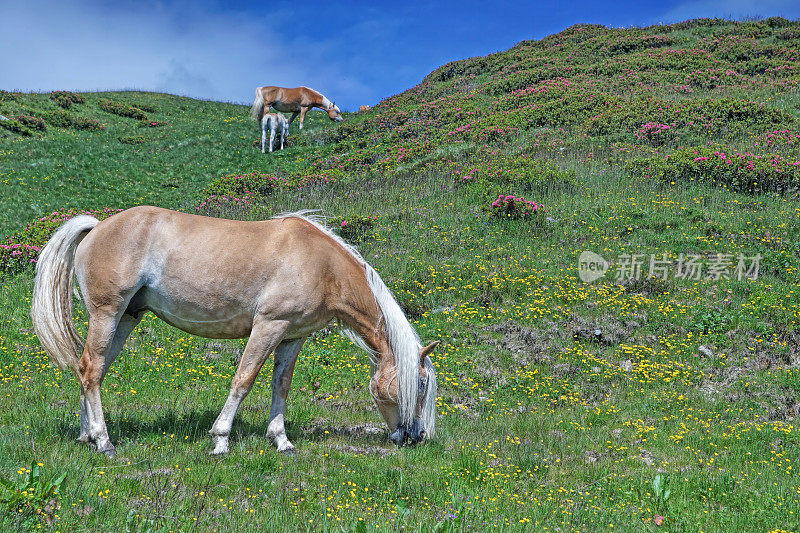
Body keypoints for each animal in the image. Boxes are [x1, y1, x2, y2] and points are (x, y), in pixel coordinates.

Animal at [32, 206, 438, 456]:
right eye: (419, 383)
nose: (416, 436)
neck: (321, 265)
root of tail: (97, 227)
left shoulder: (292, 336)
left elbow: (281, 385)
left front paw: (282, 441)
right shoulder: (268, 326)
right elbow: (244, 379)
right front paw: (220, 440)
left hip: (127, 318)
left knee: (90, 369)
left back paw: (87, 435)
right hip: (108, 313)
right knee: (91, 369)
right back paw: (103, 442)